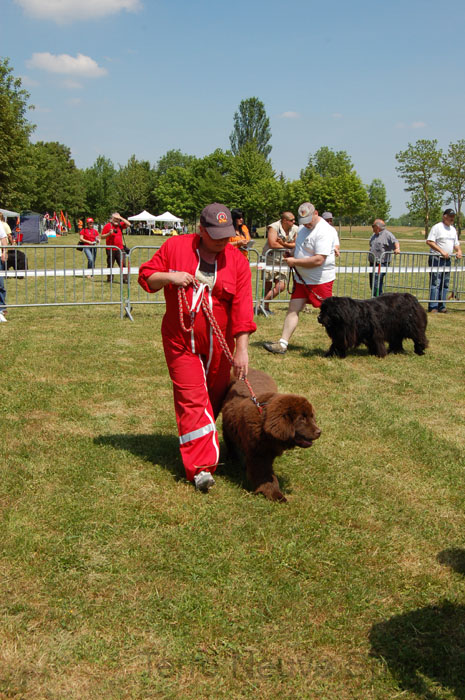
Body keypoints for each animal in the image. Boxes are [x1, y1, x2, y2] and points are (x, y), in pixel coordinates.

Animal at [221, 370, 320, 500]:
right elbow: (265, 475)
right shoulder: (258, 455)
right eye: (302, 419)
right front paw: (275, 495)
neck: (264, 426)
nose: (319, 432)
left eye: (312, 417)